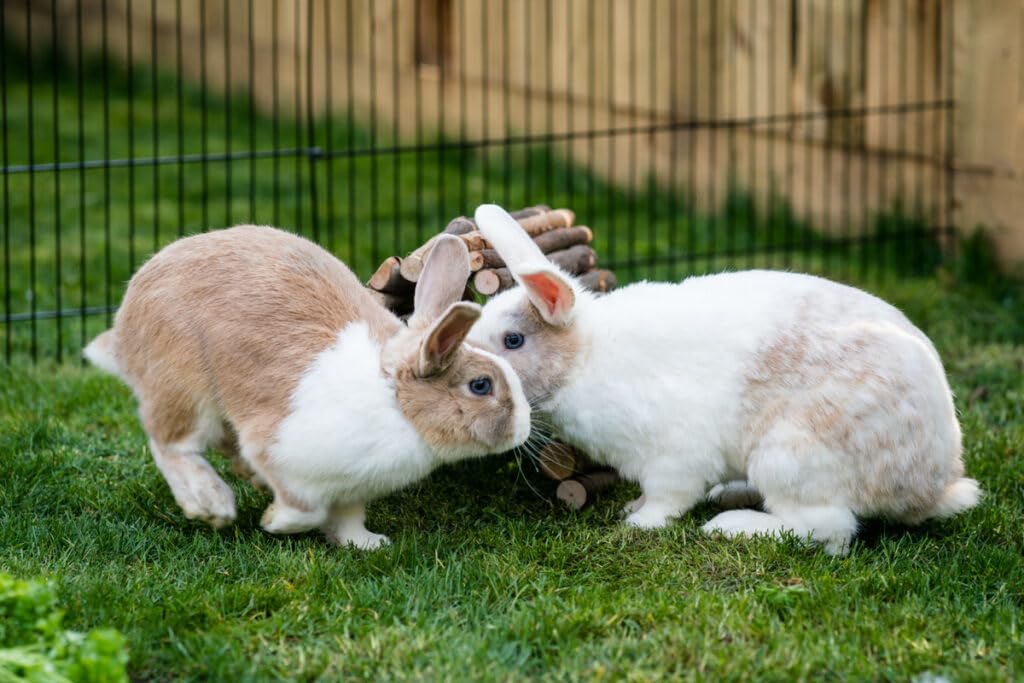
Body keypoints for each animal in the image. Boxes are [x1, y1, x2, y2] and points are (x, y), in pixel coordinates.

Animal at [84, 226, 530, 549]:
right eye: (480, 385)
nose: (524, 428)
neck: (395, 402)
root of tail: (126, 320)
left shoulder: (352, 491)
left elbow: (347, 519)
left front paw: (366, 544)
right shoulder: (279, 451)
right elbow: (306, 511)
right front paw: (274, 522)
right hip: (183, 387)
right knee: (170, 444)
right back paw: (212, 504)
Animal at [468, 204, 980, 554]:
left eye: (513, 340)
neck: (586, 358)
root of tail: (933, 483)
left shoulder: (673, 457)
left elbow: (666, 498)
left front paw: (637, 522)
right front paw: (632, 509)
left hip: (790, 455)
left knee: (828, 530)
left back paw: (733, 526)